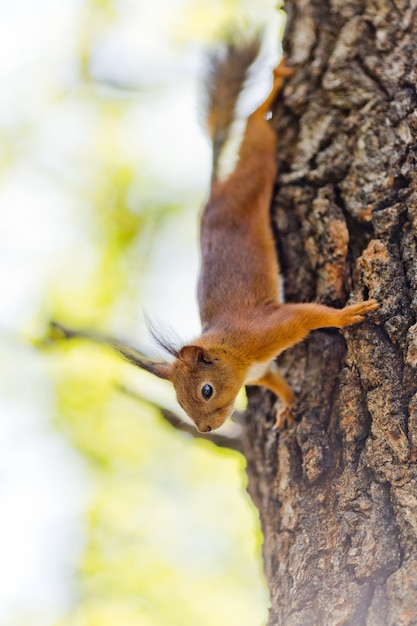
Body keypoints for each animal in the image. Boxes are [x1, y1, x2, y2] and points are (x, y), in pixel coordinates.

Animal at [50, 34, 376, 432]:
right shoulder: (260, 370)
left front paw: (346, 315)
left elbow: (311, 315)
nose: (204, 429)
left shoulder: (269, 328)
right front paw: (286, 405)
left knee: (254, 126)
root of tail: (214, 192)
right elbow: (276, 381)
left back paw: (274, 85)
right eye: (180, 400)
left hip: (253, 173)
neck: (231, 350)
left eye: (206, 390)